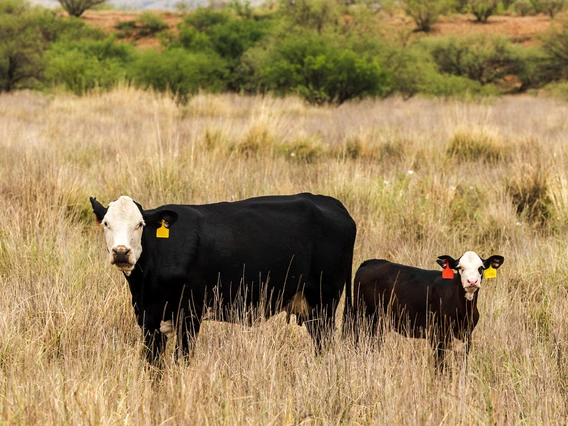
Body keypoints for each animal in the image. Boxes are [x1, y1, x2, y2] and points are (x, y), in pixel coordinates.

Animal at [90, 193, 356, 362]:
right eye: (106, 223)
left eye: (140, 224)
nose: (121, 252)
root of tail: (331, 203)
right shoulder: (149, 318)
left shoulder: (190, 314)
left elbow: (182, 359)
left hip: (324, 303)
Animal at [352, 251, 504, 372]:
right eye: (459, 267)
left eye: (481, 268)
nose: (472, 281)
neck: (463, 312)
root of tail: (370, 262)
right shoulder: (437, 335)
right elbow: (440, 366)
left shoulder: (466, 336)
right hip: (364, 317)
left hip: (379, 324)